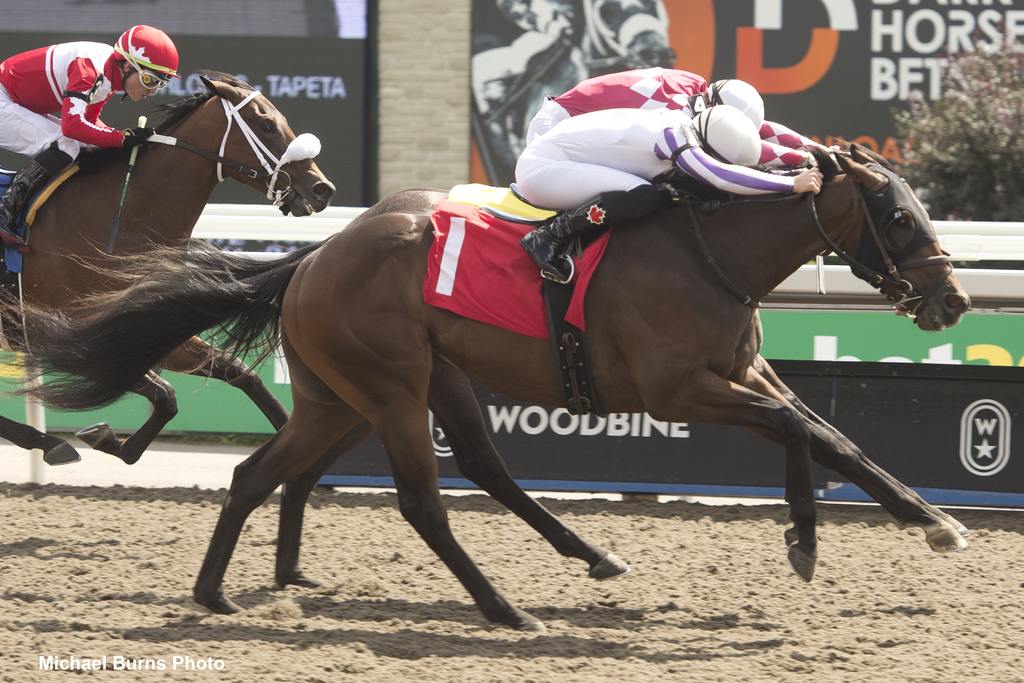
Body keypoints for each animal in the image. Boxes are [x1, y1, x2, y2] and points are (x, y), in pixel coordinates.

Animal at [22, 144, 966, 630]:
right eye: (897, 215)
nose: (951, 299)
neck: (712, 254)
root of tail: (312, 260)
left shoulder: (742, 371)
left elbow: (834, 436)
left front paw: (934, 523)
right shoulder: (681, 388)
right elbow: (801, 432)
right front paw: (806, 540)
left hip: (361, 391)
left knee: (273, 472)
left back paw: (215, 590)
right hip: (391, 386)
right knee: (424, 501)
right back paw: (506, 608)